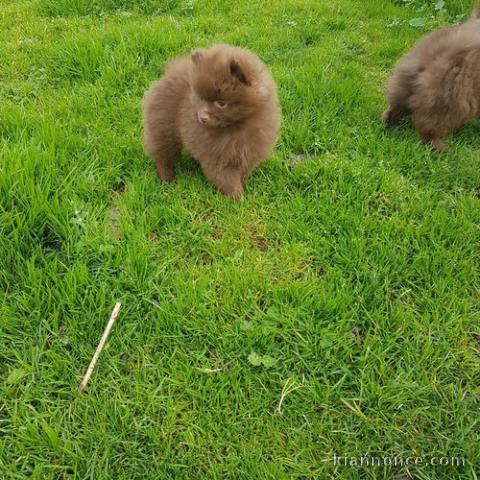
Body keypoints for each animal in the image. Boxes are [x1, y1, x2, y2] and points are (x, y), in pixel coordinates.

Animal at [142, 43, 282, 197]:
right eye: (200, 98)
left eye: (221, 103)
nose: (202, 117)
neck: (236, 126)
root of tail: (169, 73)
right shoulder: (217, 156)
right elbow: (226, 179)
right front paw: (238, 197)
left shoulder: (249, 151)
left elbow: (242, 171)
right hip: (163, 126)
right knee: (163, 154)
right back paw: (166, 179)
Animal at [382, 2, 480, 150]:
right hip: (449, 99)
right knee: (428, 127)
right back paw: (440, 147)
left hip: (403, 83)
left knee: (395, 107)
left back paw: (387, 121)